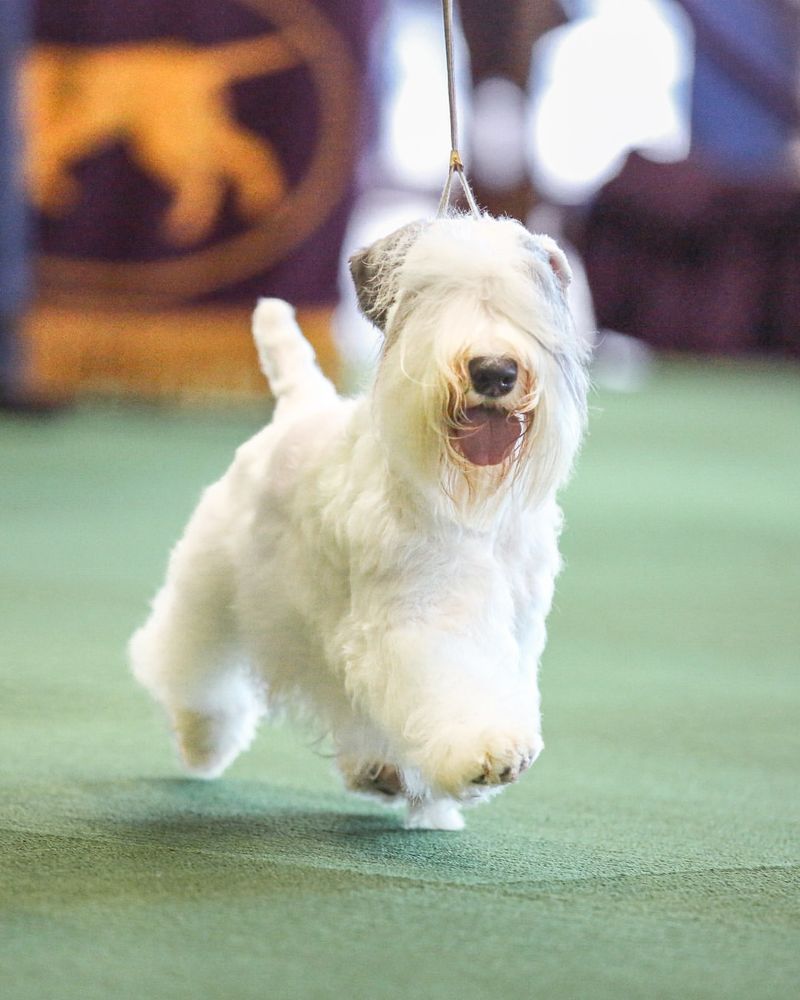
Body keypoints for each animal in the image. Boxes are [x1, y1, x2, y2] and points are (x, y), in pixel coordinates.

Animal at [130, 215, 588, 832]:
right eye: (431, 295)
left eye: (524, 299)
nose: (494, 371)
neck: (469, 508)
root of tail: (298, 407)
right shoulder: (416, 618)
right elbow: (449, 688)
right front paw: (489, 752)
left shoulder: (514, 624)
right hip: (216, 583)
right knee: (192, 661)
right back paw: (203, 741)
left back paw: (382, 773)